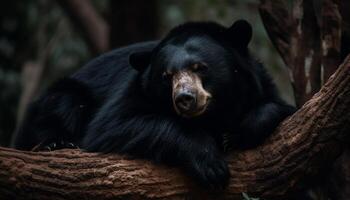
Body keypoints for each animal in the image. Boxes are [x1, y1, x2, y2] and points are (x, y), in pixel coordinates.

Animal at [13, 19, 296, 189]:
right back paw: (56, 144)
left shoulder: (259, 85)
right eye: (166, 76)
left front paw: (235, 134)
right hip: (59, 97)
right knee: (64, 104)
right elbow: (112, 126)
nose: (185, 99)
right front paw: (211, 166)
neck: (211, 115)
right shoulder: (133, 91)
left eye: (200, 67)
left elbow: (277, 107)